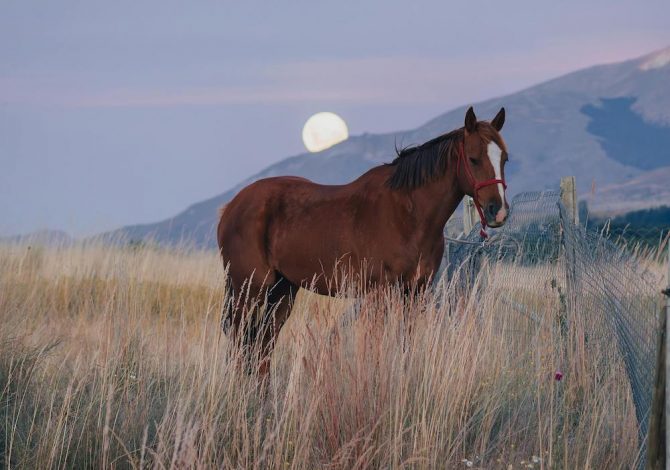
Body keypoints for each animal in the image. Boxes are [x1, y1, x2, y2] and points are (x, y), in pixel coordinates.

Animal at [217, 106, 509, 373]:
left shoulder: (415, 292)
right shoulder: (380, 293)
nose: (498, 211)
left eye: (504, 158)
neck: (408, 215)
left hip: (282, 291)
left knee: (262, 346)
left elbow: (406, 346)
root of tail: (232, 206)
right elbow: (376, 348)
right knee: (241, 343)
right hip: (247, 290)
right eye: (473, 159)